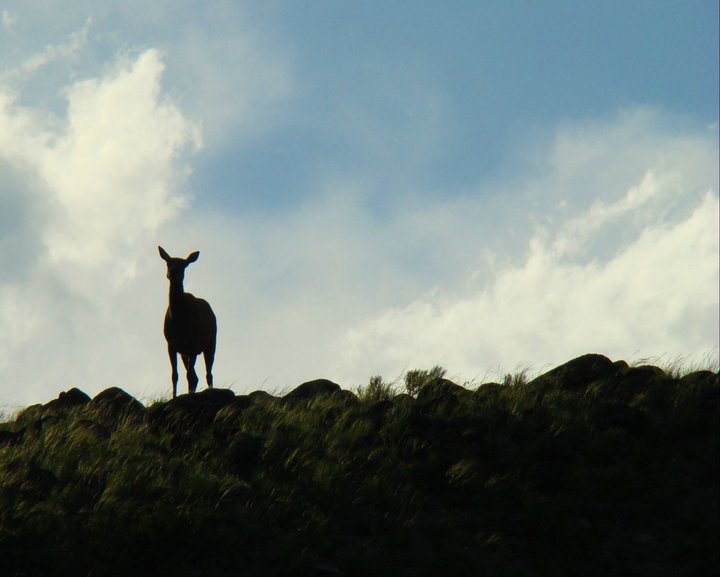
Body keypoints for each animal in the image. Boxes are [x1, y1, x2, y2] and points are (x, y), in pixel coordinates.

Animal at [158, 246, 217, 399]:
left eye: (184, 265)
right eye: (168, 263)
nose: (173, 271)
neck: (179, 321)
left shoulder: (193, 343)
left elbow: (189, 375)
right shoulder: (171, 344)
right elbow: (175, 375)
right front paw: (173, 397)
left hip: (210, 342)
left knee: (207, 373)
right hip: (185, 352)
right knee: (195, 376)